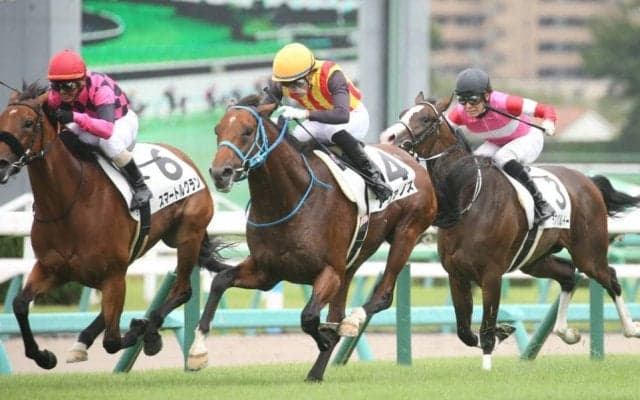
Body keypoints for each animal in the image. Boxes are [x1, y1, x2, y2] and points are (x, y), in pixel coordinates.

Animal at [0, 82, 229, 370]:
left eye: (28, 123)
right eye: (0, 120)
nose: (1, 164)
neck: (70, 202)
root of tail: (185, 159)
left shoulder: (112, 274)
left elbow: (112, 341)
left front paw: (143, 330)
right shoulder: (52, 269)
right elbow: (20, 304)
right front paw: (43, 356)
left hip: (188, 236)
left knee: (183, 290)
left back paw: (149, 329)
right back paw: (83, 340)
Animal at [187, 93, 437, 381]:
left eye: (247, 131)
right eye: (217, 130)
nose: (220, 173)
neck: (289, 199)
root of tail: (410, 157)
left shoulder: (329, 271)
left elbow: (308, 316)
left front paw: (325, 337)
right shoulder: (267, 272)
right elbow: (220, 281)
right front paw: (196, 352)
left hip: (407, 233)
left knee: (382, 295)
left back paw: (351, 323)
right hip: (353, 261)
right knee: (340, 309)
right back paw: (316, 371)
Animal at [379, 92, 640, 370]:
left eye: (426, 118)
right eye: (403, 114)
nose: (389, 137)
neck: (467, 198)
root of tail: (588, 181)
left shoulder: (491, 275)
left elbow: (486, 328)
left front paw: (487, 365)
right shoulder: (456, 274)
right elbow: (465, 331)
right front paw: (503, 331)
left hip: (588, 253)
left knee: (610, 278)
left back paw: (631, 329)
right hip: (535, 260)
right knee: (569, 275)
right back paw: (567, 332)